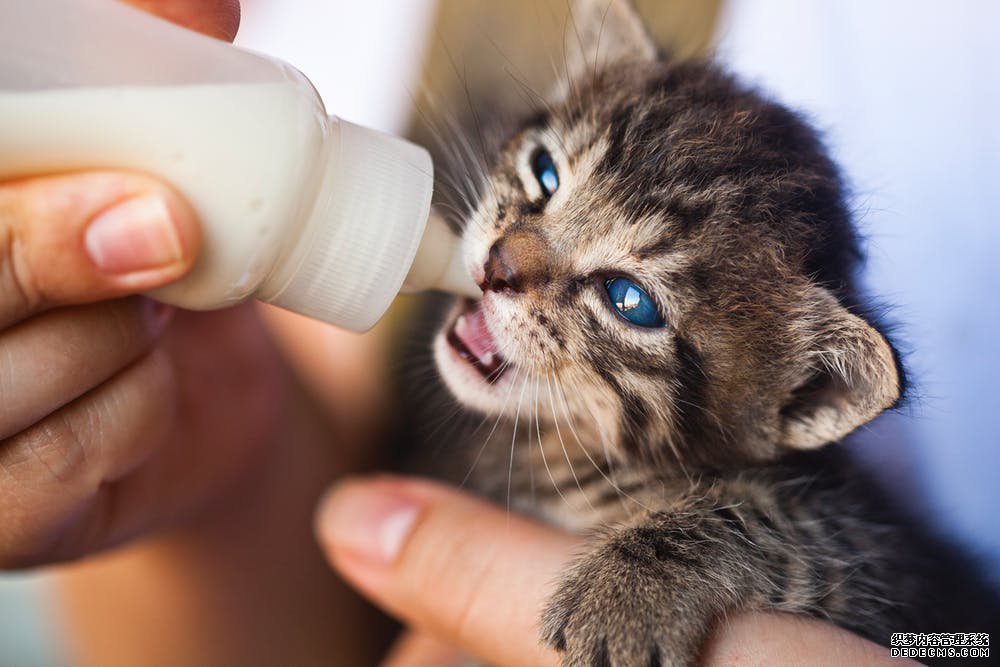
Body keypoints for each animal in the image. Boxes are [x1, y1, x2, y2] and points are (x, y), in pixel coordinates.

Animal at [400, 2, 1000, 664]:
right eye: (545, 172)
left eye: (629, 301)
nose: (496, 266)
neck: (560, 455)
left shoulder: (881, 572)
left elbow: (782, 521)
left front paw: (627, 589)